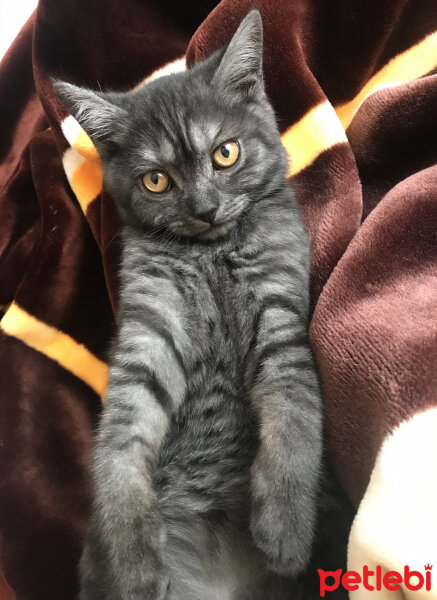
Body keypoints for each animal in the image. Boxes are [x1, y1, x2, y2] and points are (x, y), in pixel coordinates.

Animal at [52, 9, 322, 600]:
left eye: (225, 153)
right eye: (157, 180)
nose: (204, 209)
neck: (211, 254)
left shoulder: (281, 315)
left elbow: (293, 410)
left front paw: (285, 529)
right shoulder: (149, 329)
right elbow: (120, 440)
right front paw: (133, 559)